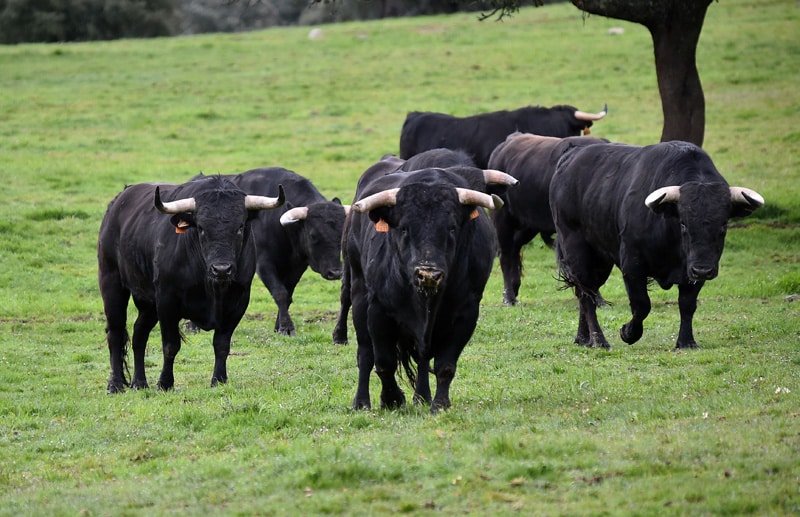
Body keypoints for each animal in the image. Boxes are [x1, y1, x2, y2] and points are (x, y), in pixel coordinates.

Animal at [98, 175, 285, 393]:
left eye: (240, 227)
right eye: (201, 228)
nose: (222, 269)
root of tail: (119, 201)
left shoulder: (238, 302)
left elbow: (222, 344)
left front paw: (219, 380)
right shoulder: (167, 301)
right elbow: (171, 345)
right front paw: (165, 383)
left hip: (148, 302)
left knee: (139, 334)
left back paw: (139, 383)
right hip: (111, 282)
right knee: (116, 332)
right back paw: (115, 385)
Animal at [224, 167, 349, 336]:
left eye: (342, 234)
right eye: (313, 235)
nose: (335, 273)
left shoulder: (297, 267)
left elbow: (288, 295)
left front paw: (279, 327)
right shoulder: (264, 263)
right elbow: (280, 293)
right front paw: (286, 327)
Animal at [342, 163, 513, 411]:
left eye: (452, 228)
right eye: (404, 228)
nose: (428, 274)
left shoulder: (466, 313)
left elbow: (445, 365)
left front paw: (439, 404)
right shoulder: (378, 310)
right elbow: (384, 361)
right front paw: (392, 398)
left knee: (422, 358)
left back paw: (422, 396)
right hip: (358, 291)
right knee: (365, 353)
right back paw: (361, 402)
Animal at [487, 133, 609, 306]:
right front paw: (597, 299)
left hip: (529, 224)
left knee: (515, 248)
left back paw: (515, 289)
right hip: (502, 218)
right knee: (505, 254)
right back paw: (509, 297)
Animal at [549, 140, 764, 350]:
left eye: (723, 225)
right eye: (683, 223)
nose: (703, 270)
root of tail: (572, 154)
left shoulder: (692, 271)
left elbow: (687, 304)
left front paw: (687, 342)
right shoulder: (633, 265)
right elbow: (642, 304)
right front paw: (628, 333)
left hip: (601, 260)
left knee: (585, 292)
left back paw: (583, 339)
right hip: (577, 250)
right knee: (587, 296)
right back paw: (599, 341)